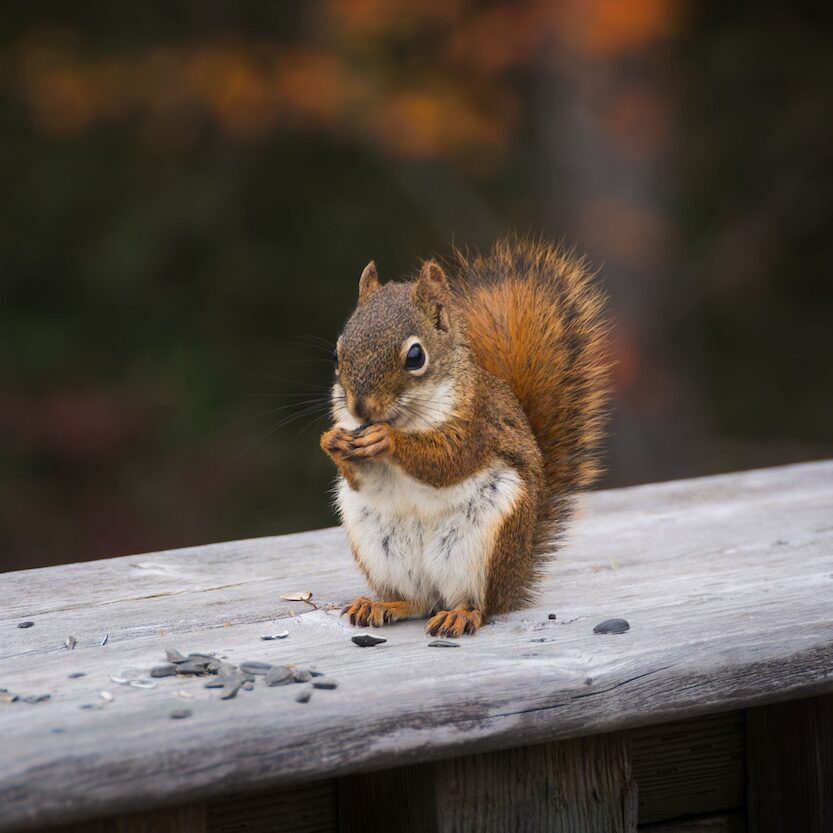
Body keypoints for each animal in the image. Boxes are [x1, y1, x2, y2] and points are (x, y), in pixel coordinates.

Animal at [322, 237, 608, 640]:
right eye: (337, 354)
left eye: (415, 356)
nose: (361, 409)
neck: (409, 417)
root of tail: (514, 581)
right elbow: (362, 477)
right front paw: (332, 442)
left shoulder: (477, 425)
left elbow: (447, 461)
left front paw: (387, 440)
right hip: (381, 549)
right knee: (416, 601)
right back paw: (382, 604)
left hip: (481, 546)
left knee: (477, 604)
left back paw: (460, 614)